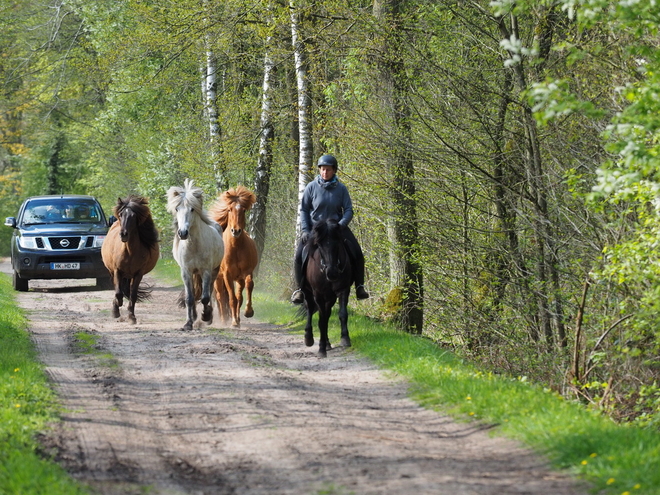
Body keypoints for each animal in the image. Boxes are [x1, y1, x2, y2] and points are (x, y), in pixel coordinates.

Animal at [102, 196, 160, 328]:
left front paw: (131, 317)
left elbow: (132, 295)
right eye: (121, 214)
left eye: (134, 216)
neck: (129, 251)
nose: (123, 234)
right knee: (117, 289)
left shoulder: (138, 274)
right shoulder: (117, 271)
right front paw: (116, 308)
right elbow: (118, 293)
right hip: (114, 272)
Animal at [168, 180, 224, 332]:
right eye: (177, 209)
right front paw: (188, 323)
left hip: (213, 271)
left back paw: (208, 315)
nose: (182, 233)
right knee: (193, 293)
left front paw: (206, 316)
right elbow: (189, 298)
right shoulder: (186, 272)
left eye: (192, 209)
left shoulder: (206, 271)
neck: (194, 246)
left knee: (209, 291)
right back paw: (193, 315)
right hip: (193, 273)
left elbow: (205, 297)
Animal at [210, 186, 260, 330]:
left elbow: (248, 287)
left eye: (243, 210)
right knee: (221, 297)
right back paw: (224, 319)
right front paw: (233, 322)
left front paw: (248, 312)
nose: (236, 231)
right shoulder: (227, 275)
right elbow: (231, 299)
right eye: (229, 209)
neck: (236, 248)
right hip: (218, 278)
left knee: (238, 296)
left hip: (238, 279)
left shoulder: (246, 273)